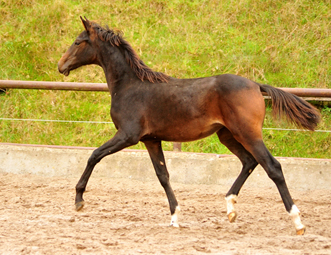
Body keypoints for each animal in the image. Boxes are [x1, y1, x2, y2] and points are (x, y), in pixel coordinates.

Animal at [58, 16, 320, 235]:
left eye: (77, 42)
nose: (61, 66)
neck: (130, 85)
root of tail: (256, 85)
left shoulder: (127, 135)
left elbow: (94, 155)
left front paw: (79, 200)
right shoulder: (151, 139)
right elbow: (163, 175)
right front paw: (175, 217)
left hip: (247, 133)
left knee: (272, 167)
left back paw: (297, 222)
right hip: (227, 135)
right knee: (249, 161)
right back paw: (230, 208)